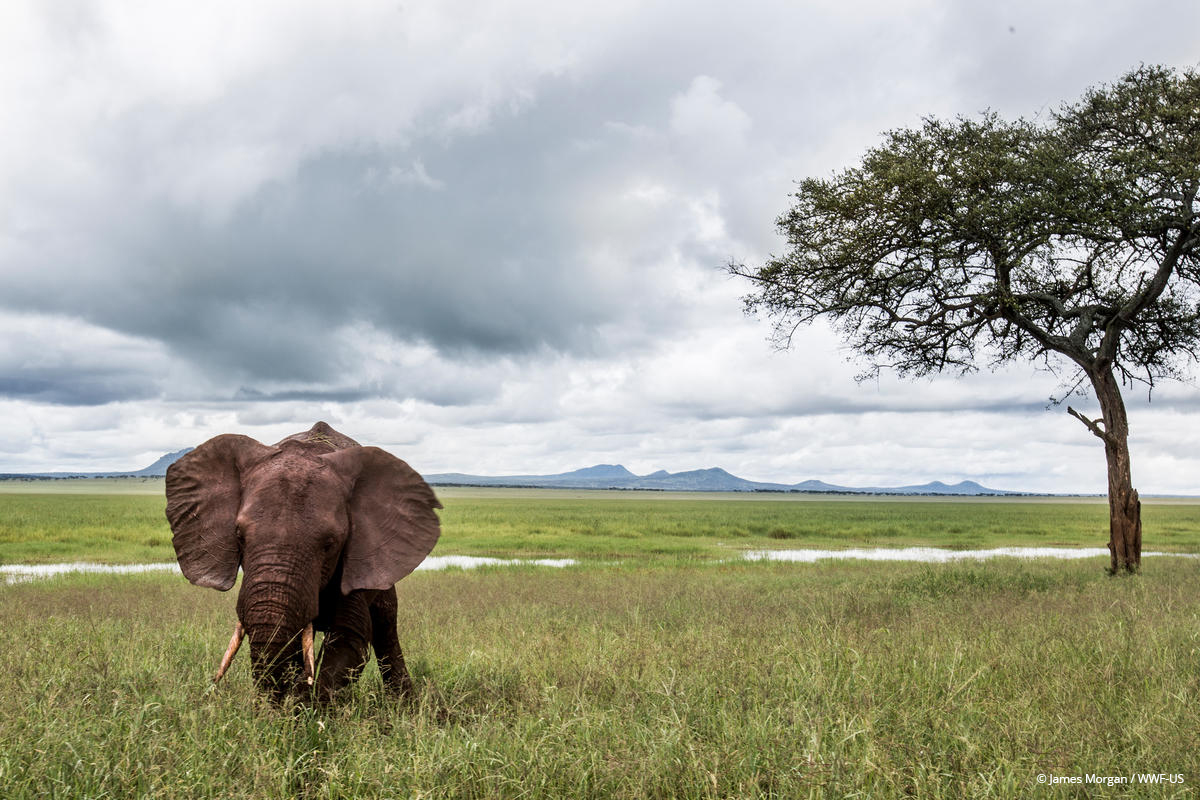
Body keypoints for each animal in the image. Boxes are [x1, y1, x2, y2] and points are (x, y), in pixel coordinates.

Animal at [162, 422, 439, 705]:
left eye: (330, 543)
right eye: (239, 536)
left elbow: (350, 637)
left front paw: (303, 703)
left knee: (386, 624)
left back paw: (403, 704)